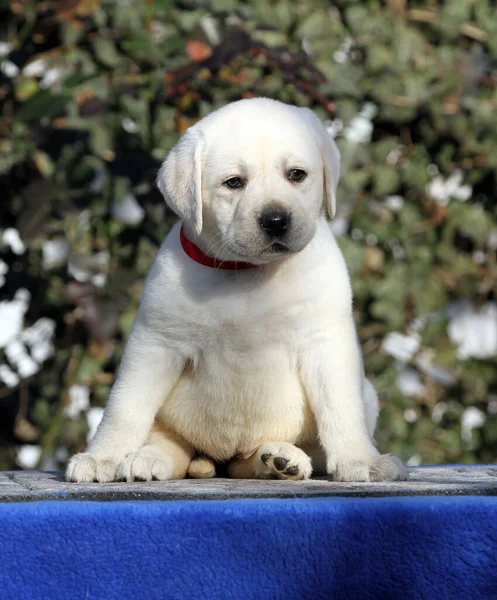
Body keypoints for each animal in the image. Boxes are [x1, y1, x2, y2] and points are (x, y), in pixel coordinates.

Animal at [67, 98, 406, 482]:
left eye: (297, 175)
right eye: (234, 183)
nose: (276, 220)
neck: (247, 273)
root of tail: (216, 461)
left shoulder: (326, 345)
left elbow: (343, 408)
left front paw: (361, 460)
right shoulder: (155, 344)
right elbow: (123, 407)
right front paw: (102, 457)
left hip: (363, 397)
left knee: (267, 457)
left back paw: (280, 460)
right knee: (172, 445)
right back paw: (149, 459)